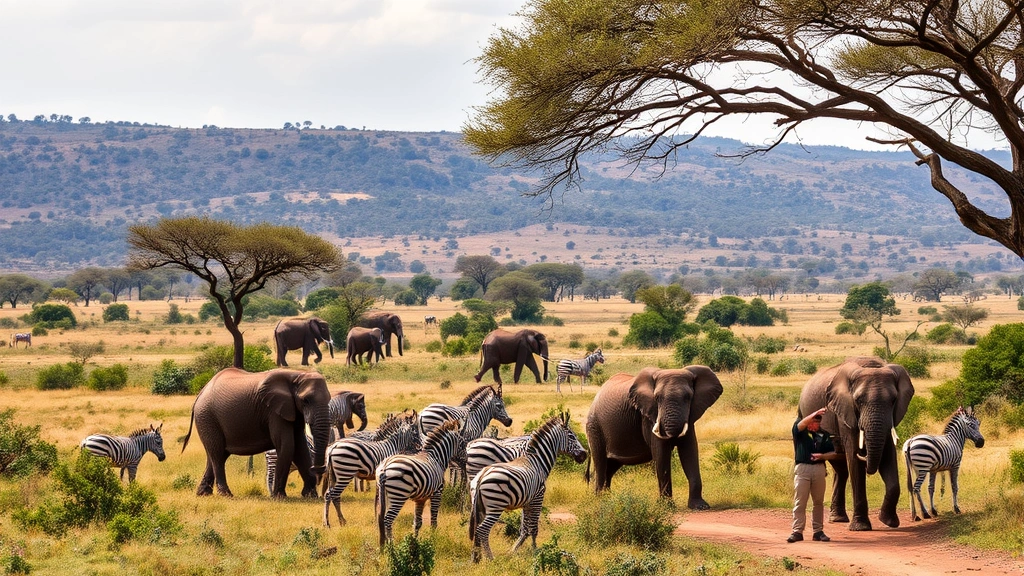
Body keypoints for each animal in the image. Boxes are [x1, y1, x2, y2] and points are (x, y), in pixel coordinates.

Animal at [182, 367, 333, 498]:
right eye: (305, 401)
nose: (319, 470)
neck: (297, 374)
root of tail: (200, 393)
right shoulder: (274, 411)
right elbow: (287, 446)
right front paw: (279, 497)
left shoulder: (292, 410)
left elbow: (300, 448)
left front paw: (310, 495)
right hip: (207, 417)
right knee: (217, 455)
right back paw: (226, 494)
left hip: (207, 419)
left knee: (215, 455)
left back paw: (203, 494)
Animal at [469, 413, 588, 561]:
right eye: (571, 436)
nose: (585, 455)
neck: (537, 461)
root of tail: (481, 476)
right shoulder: (538, 497)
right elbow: (534, 528)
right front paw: (536, 552)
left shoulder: (527, 500)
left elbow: (525, 529)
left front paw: (513, 550)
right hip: (496, 505)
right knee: (482, 530)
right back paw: (491, 559)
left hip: (479, 506)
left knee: (476, 529)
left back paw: (475, 558)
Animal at [585, 366, 723, 509]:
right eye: (657, 398)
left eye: (688, 397)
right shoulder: (648, 416)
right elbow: (661, 452)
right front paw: (666, 507)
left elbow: (689, 450)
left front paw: (700, 506)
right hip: (594, 427)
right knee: (600, 463)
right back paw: (599, 502)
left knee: (610, 466)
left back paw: (606, 500)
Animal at [798, 356, 915, 531]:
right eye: (858, 401)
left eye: (893, 400)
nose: (864, 454)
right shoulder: (844, 412)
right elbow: (854, 459)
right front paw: (861, 527)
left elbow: (888, 455)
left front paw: (888, 522)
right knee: (840, 464)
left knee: (841, 468)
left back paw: (838, 518)